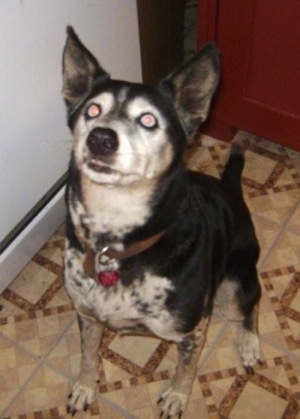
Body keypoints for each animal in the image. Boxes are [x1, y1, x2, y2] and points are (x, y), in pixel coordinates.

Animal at [62, 27, 262, 418]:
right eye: (92, 110)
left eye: (148, 120)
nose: (100, 138)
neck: (116, 239)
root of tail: (231, 189)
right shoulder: (87, 315)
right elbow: (88, 355)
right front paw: (85, 387)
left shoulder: (192, 330)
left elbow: (186, 369)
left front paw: (176, 397)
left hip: (232, 289)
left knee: (253, 301)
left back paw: (248, 342)